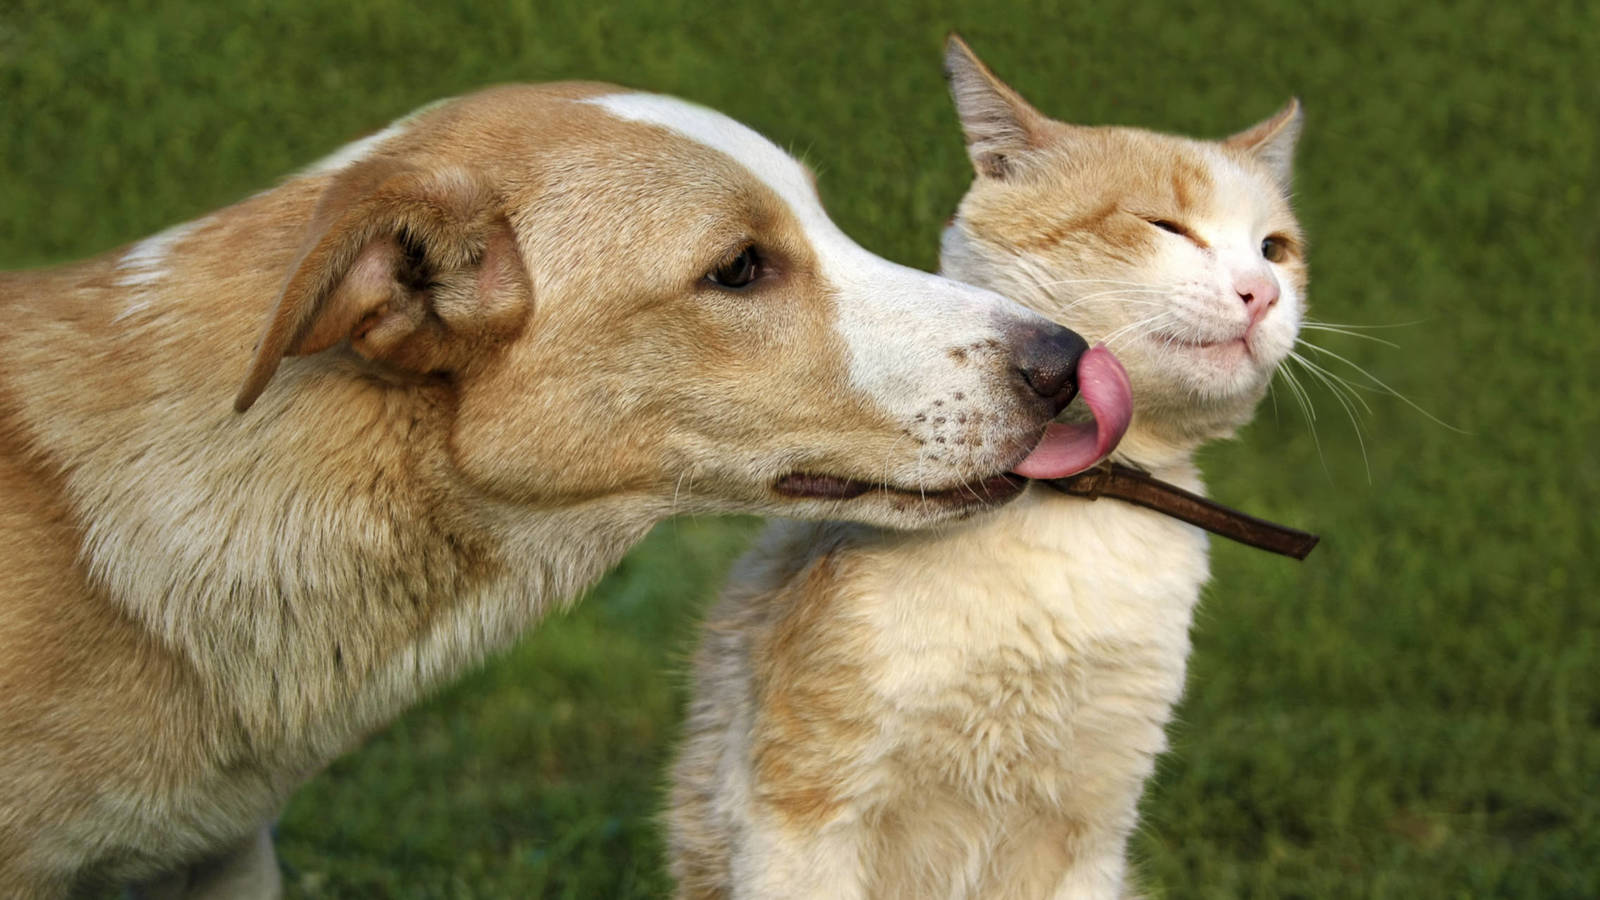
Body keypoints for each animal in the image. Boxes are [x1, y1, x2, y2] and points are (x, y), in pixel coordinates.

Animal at [668, 36, 1305, 896]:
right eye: (1165, 226)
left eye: (1276, 250)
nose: (1262, 292)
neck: (1072, 514)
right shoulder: (799, 815)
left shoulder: (1089, 833)